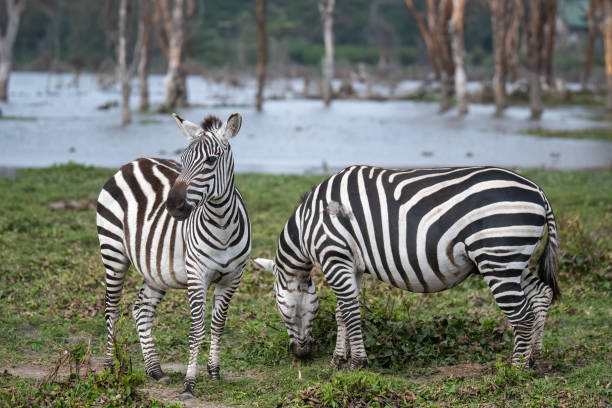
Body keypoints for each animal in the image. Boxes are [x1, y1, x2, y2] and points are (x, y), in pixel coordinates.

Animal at [97, 111, 250, 398]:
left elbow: (218, 325)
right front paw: (189, 384)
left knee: (141, 310)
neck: (222, 224)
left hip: (155, 268)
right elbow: (196, 330)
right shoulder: (197, 275)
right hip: (113, 251)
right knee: (111, 309)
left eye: (210, 161)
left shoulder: (232, 278)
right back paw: (110, 368)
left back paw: (155, 370)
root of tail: (134, 162)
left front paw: (214, 372)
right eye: (183, 160)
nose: (173, 206)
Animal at [253, 164, 560, 368]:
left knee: (522, 316)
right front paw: (338, 359)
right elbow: (342, 313)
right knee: (542, 295)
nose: (299, 354)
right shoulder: (351, 264)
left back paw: (515, 369)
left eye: (279, 306)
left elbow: (350, 313)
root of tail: (538, 191)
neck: (308, 223)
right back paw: (535, 358)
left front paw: (357, 363)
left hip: (498, 258)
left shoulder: (334, 256)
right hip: (511, 259)